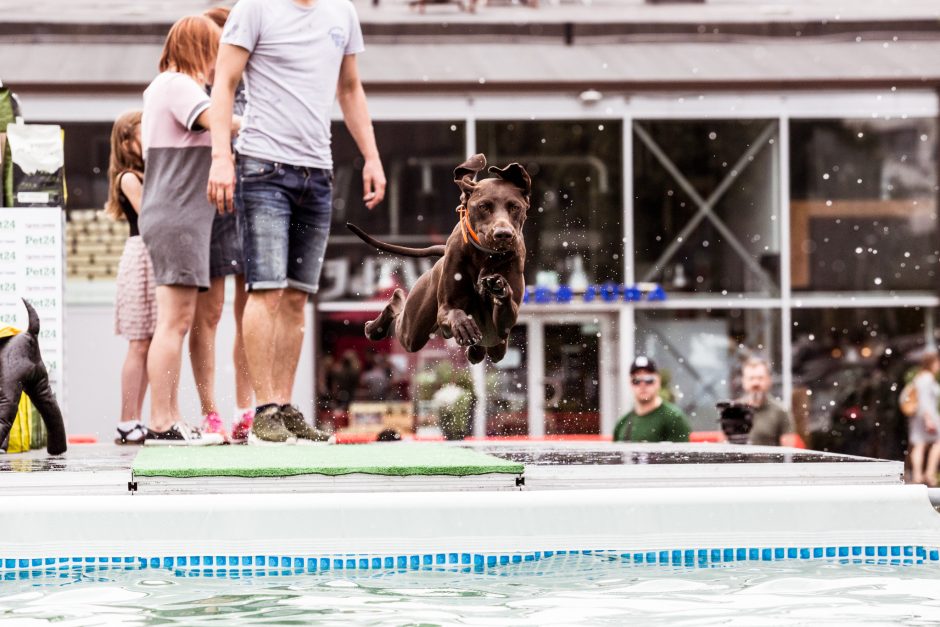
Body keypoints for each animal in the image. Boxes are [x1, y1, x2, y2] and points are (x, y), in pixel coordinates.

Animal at [348, 154, 532, 366]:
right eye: (484, 206)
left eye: (515, 207)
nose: (503, 234)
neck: (485, 256)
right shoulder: (445, 307)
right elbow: (453, 311)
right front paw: (463, 325)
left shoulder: (504, 326)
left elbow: (505, 312)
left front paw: (499, 287)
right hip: (414, 329)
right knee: (400, 315)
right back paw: (381, 319)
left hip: (496, 345)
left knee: (491, 351)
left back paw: (474, 351)